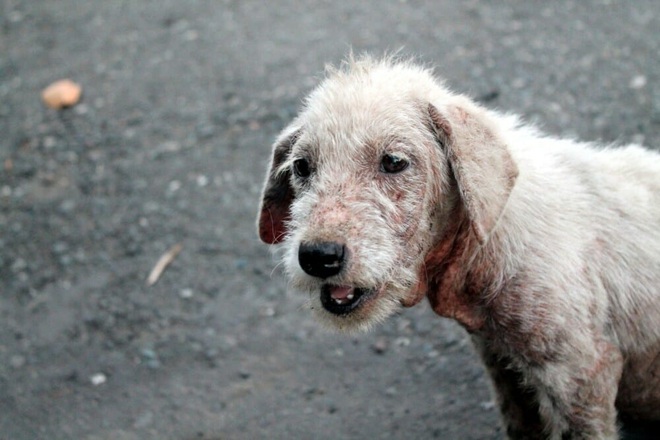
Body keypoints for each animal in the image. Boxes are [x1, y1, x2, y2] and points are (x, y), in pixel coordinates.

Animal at [256, 55, 660, 440]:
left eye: (394, 161)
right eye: (302, 166)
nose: (317, 256)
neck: (490, 230)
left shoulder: (581, 371)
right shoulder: (504, 366)